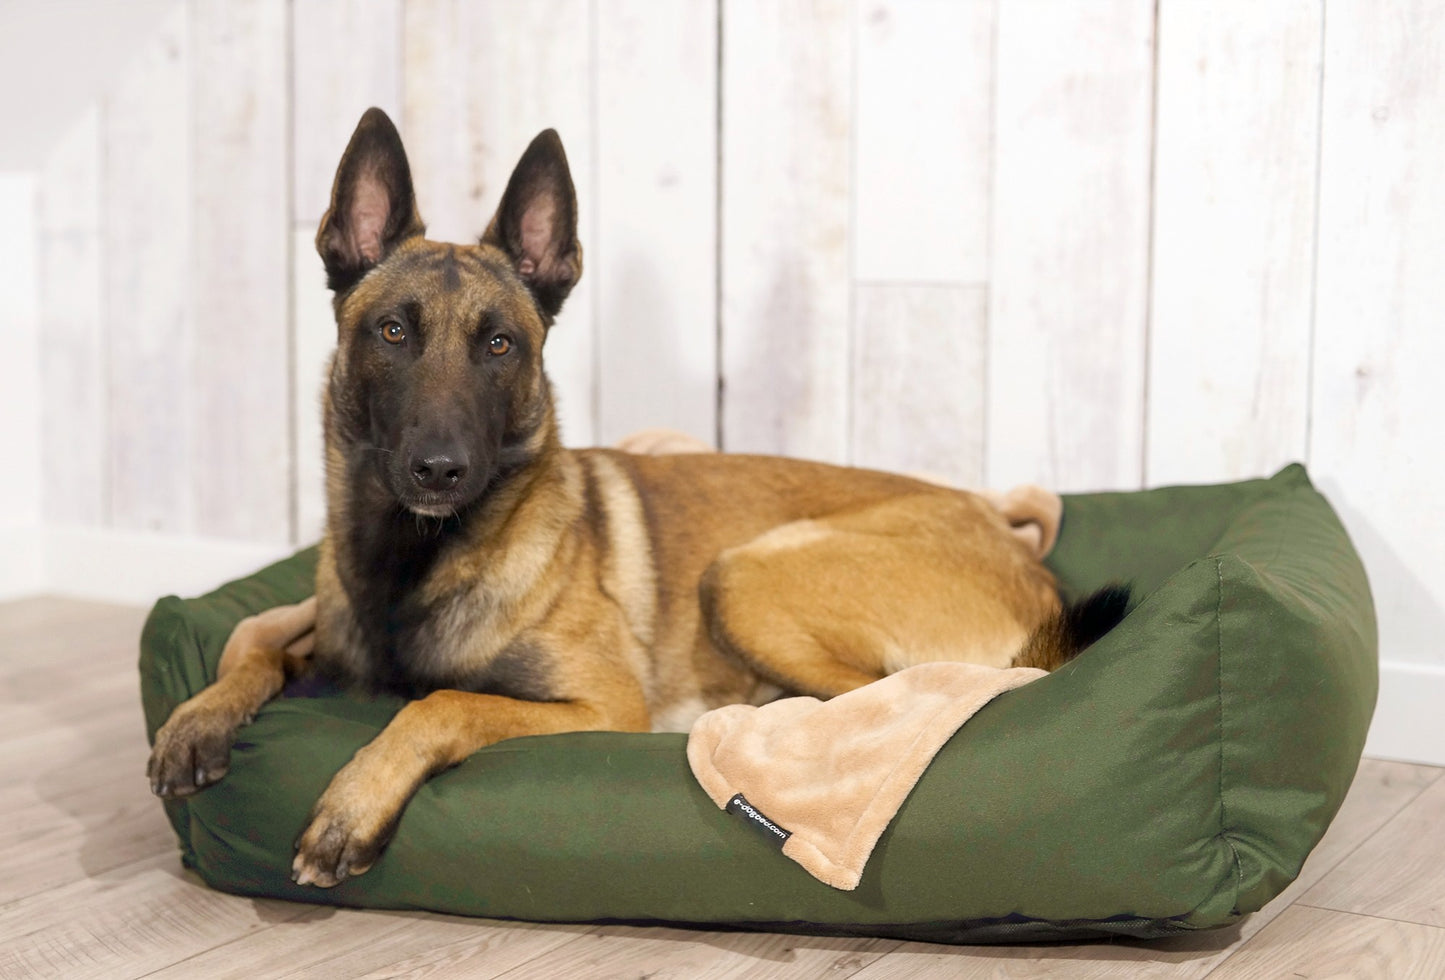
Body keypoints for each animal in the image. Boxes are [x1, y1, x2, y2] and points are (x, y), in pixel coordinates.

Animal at [149, 107, 1127, 890]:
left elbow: (441, 703)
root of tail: (1023, 556)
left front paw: (352, 804)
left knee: (901, 699)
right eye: (391, 332)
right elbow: (257, 640)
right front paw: (199, 719)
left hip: (745, 576)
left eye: (500, 345)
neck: (418, 562)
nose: (439, 470)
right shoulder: (328, 640)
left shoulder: (596, 708)